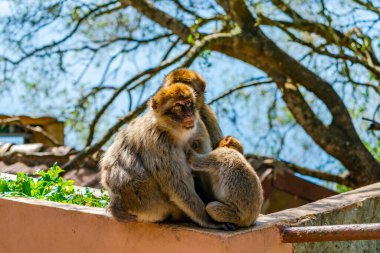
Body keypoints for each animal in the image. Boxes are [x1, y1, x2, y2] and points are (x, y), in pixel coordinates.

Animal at [101, 84, 230, 230]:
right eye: (178, 106)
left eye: (189, 103)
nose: (189, 113)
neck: (176, 132)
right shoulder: (158, 140)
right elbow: (177, 186)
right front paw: (209, 221)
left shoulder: (198, 128)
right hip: (150, 206)